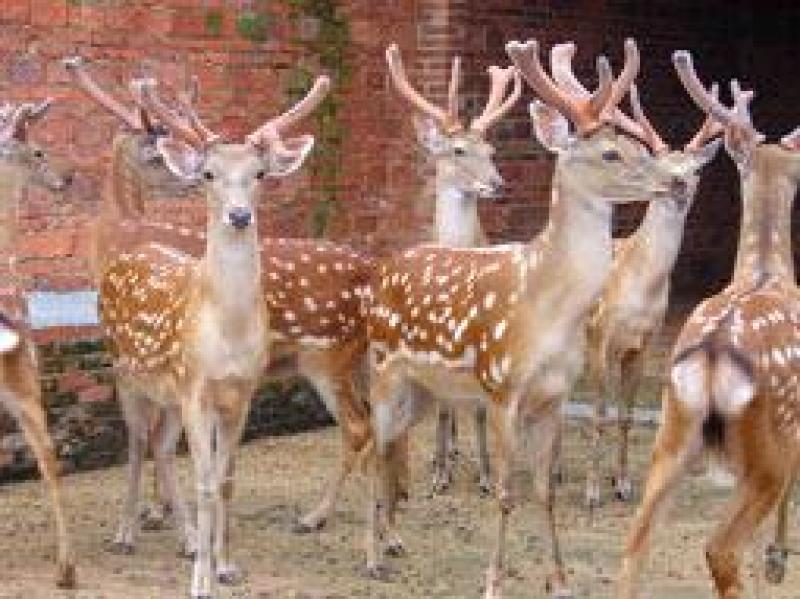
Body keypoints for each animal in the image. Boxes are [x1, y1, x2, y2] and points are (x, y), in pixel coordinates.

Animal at [91, 67, 329, 598]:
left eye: (260, 174)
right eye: (207, 174)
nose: (239, 215)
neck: (229, 334)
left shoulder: (240, 393)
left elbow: (224, 479)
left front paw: (224, 565)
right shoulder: (195, 387)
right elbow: (202, 481)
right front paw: (200, 580)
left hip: (167, 392)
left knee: (160, 446)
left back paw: (174, 535)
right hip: (125, 372)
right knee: (135, 444)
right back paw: (124, 533)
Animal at [384, 43, 520, 496]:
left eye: (491, 151)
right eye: (458, 150)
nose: (498, 183)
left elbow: (479, 408)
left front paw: (485, 476)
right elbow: (445, 407)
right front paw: (439, 475)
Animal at [545, 42, 724, 508]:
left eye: (696, 169)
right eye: (659, 161)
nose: (678, 184)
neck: (640, 288)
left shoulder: (645, 342)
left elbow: (625, 414)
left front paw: (623, 483)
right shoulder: (602, 338)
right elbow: (600, 413)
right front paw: (593, 492)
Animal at [618, 51, 800, 599]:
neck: (768, 272)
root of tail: (713, 361)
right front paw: (778, 558)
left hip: (671, 432)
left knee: (633, 547)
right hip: (764, 447)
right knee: (721, 548)